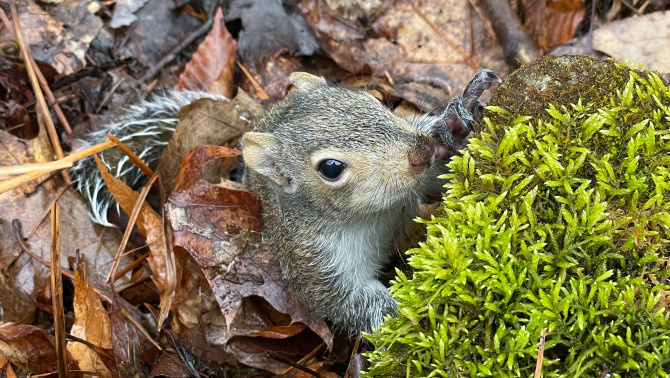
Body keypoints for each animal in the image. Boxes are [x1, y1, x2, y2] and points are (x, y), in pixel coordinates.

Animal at [75, 70, 504, 334]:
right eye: (331, 168)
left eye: (375, 100)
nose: (419, 151)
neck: (371, 214)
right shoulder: (314, 262)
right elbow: (347, 302)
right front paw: (410, 310)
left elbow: (438, 169)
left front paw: (452, 123)